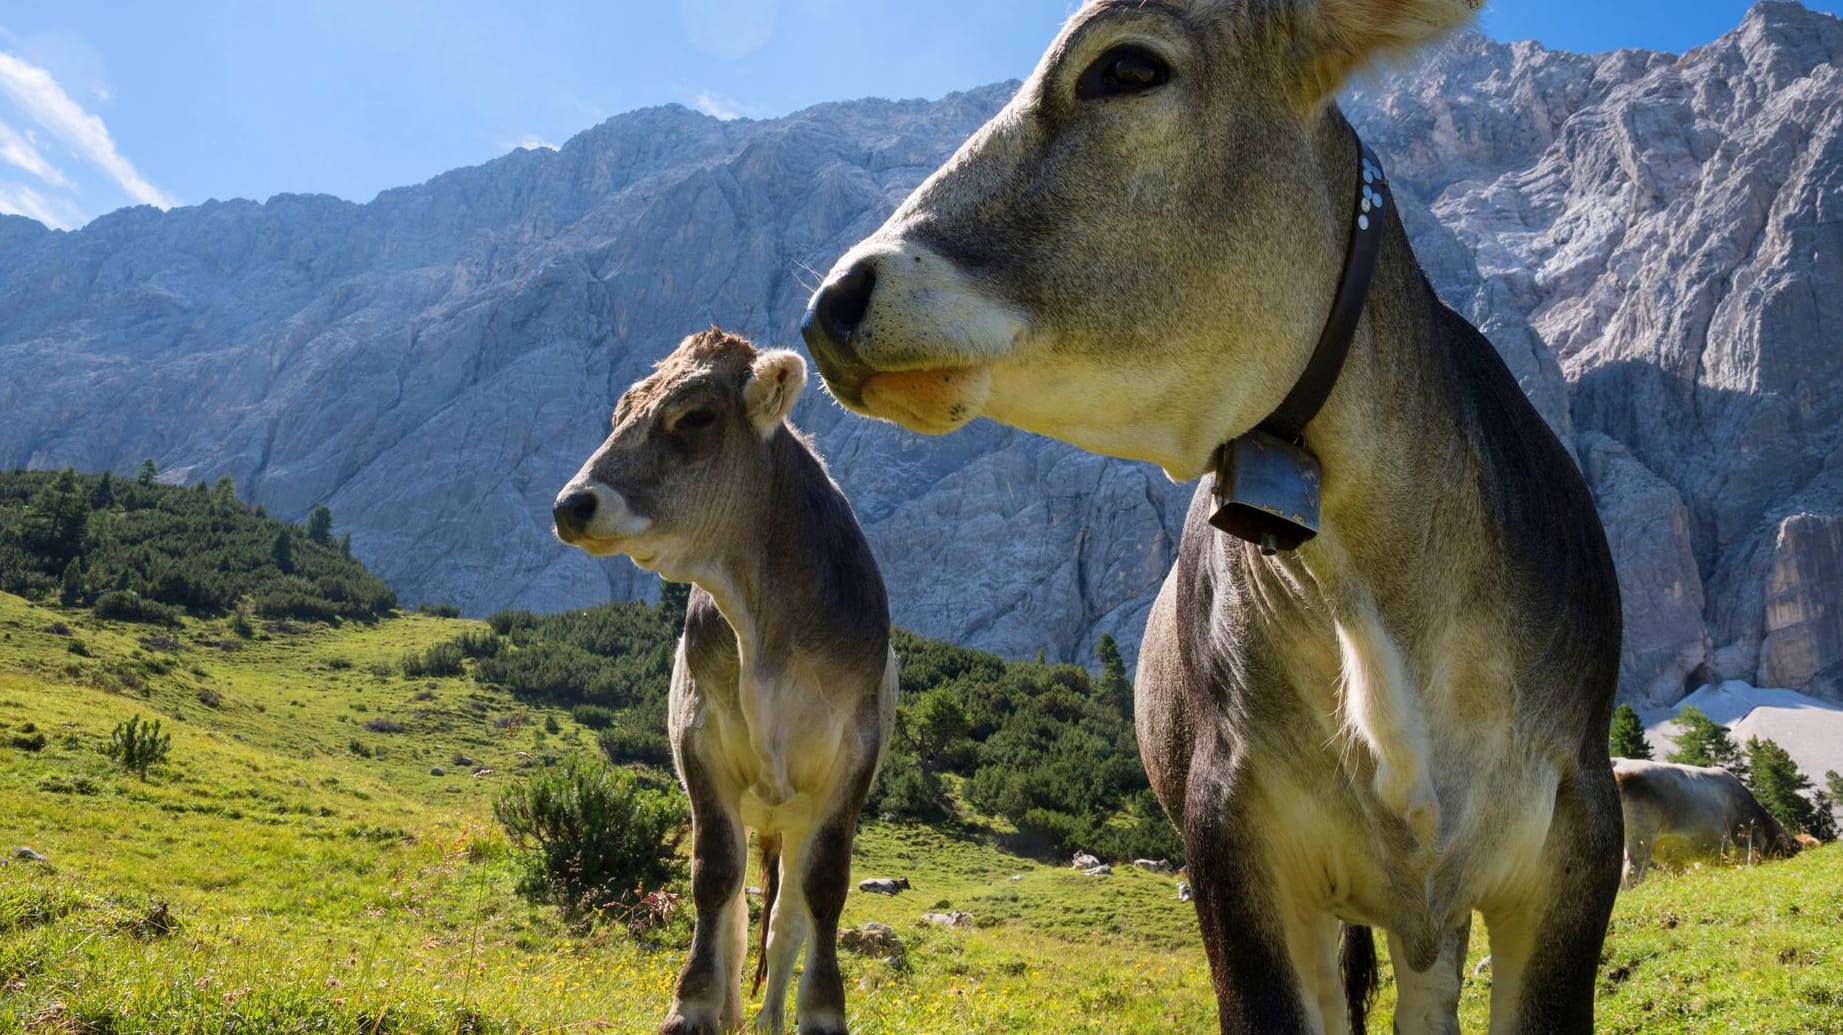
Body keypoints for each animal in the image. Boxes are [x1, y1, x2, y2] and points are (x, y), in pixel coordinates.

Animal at [552, 327, 899, 1031]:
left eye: (694, 417)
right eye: (621, 410)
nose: (571, 504)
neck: (763, 636)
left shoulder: (851, 757)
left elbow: (824, 889)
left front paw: (823, 1013)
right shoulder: (699, 741)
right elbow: (714, 879)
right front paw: (691, 1006)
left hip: (794, 816)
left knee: (786, 922)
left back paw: (768, 1020)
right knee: (741, 912)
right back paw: (734, 1013)